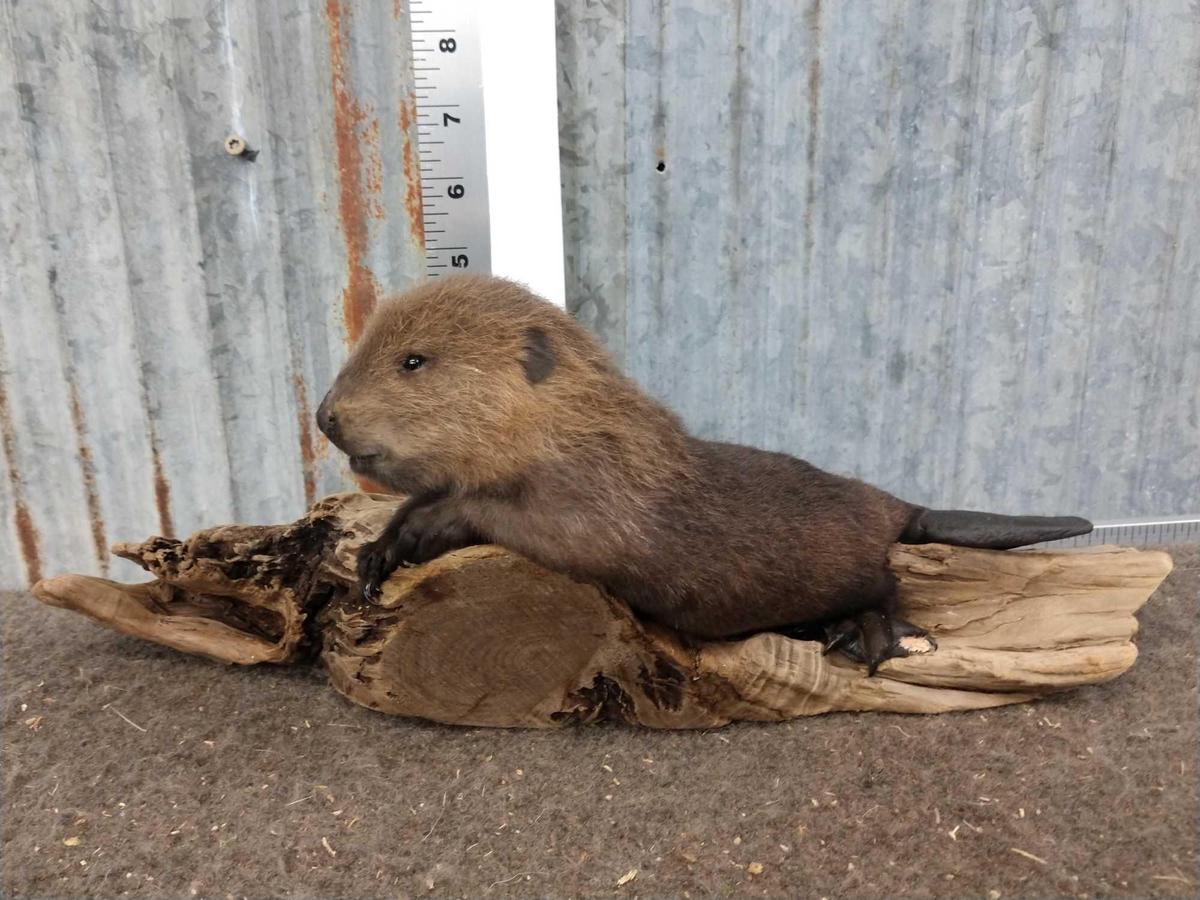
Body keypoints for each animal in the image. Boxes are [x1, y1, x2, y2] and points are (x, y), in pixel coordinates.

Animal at [314, 278, 1094, 672]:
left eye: (413, 361)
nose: (325, 416)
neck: (573, 422)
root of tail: (901, 506)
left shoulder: (600, 495)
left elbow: (522, 520)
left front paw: (419, 532)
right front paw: (378, 552)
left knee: (884, 584)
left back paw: (867, 634)